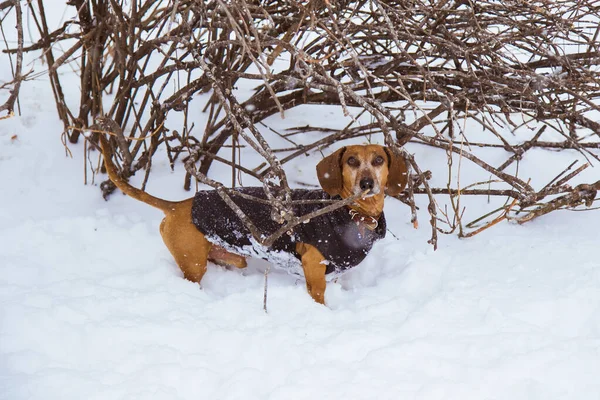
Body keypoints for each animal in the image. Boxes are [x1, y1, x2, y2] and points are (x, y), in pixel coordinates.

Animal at [98, 136, 408, 304]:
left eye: (379, 160)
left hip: (232, 258)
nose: (367, 183)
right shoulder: (313, 267)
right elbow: (318, 295)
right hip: (193, 264)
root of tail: (179, 206)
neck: (351, 213)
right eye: (352, 161)